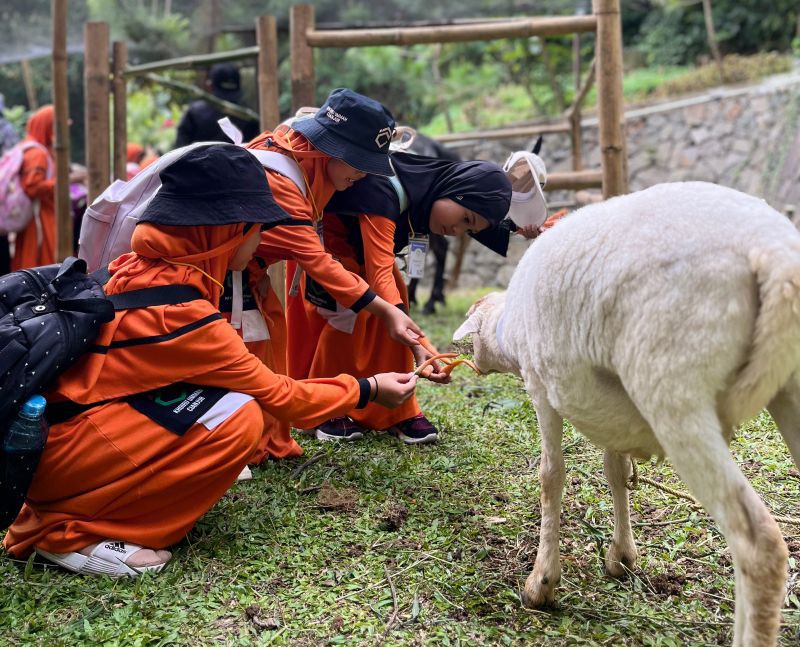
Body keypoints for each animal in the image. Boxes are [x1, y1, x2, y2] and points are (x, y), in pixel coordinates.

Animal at [454, 182, 800, 647]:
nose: (472, 365)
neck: (509, 330)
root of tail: (773, 251)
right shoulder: (610, 416)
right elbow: (615, 472)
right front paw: (622, 556)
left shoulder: (542, 388)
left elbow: (551, 476)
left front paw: (541, 583)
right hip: (788, 389)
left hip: (673, 388)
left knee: (757, 544)